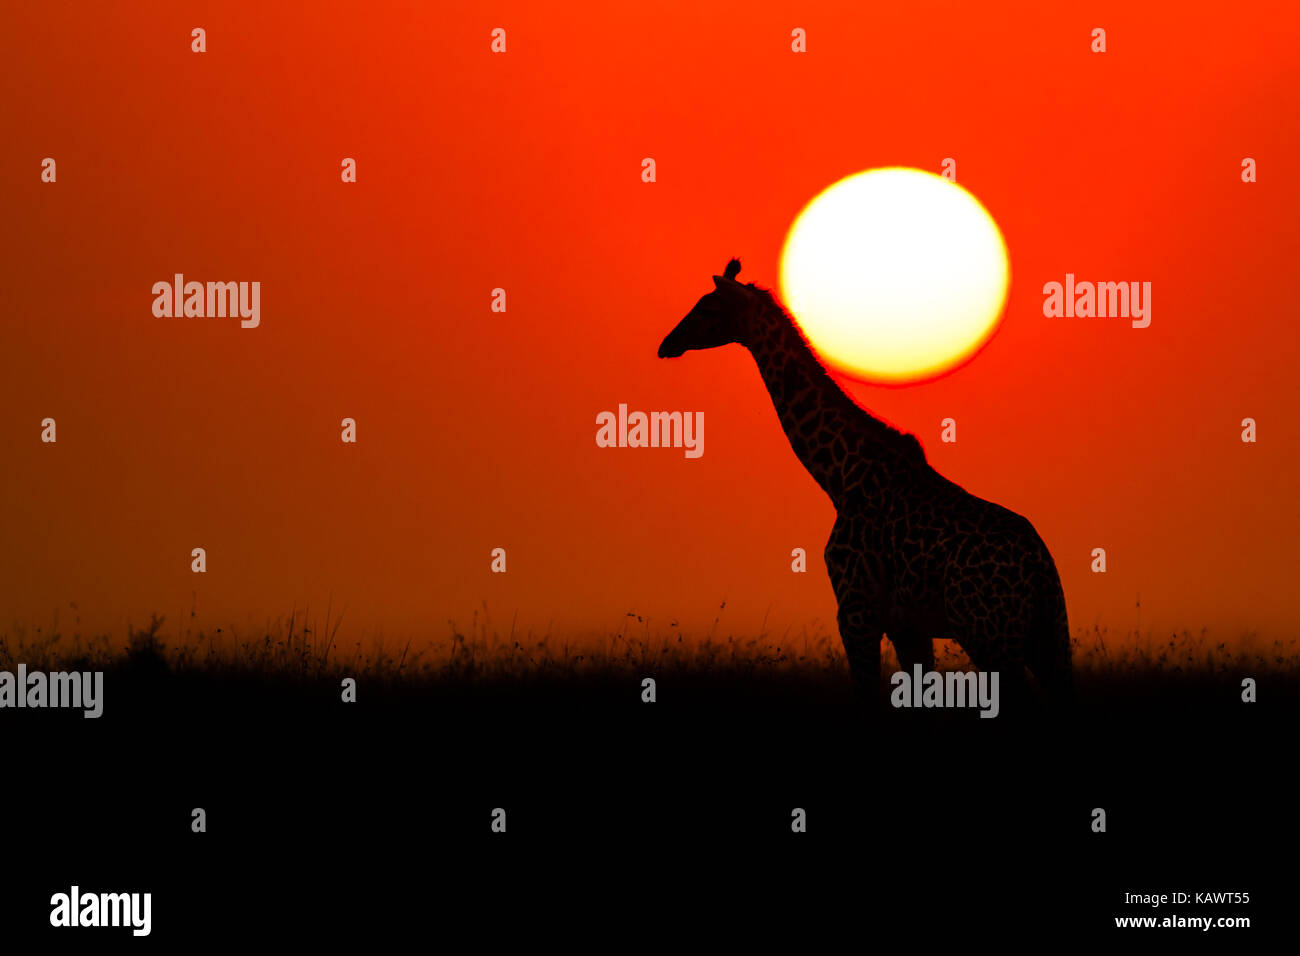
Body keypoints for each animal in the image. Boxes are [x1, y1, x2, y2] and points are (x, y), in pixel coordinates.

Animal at [657, 258, 1073, 713]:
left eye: (707, 308)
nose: (666, 344)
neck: (839, 477)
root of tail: (1040, 566)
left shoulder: (857, 612)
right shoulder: (907, 624)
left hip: (990, 634)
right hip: (1045, 633)